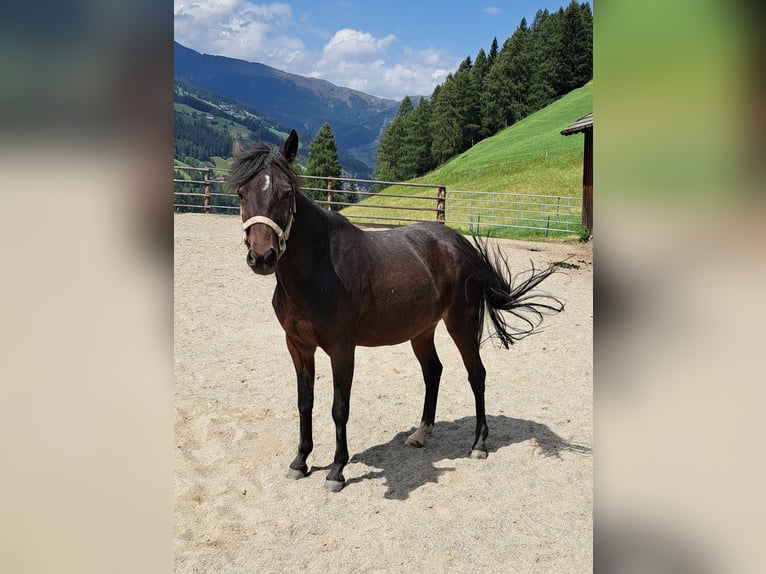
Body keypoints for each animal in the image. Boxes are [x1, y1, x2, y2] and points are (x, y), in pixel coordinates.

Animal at [231, 130, 568, 496]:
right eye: (241, 193)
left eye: (286, 193)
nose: (262, 257)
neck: (318, 270)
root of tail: (459, 243)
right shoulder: (298, 346)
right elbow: (304, 402)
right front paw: (300, 461)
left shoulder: (341, 349)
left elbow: (339, 408)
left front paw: (336, 470)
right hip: (422, 330)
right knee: (433, 371)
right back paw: (420, 434)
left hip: (462, 323)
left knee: (476, 374)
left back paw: (479, 444)